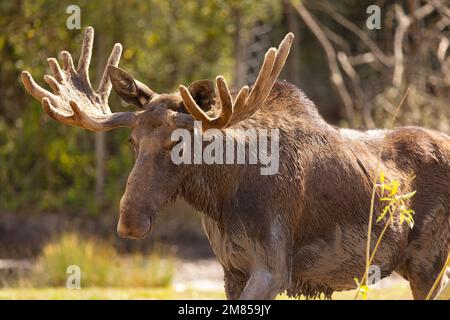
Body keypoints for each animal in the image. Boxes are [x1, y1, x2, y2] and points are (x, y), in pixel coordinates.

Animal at [22, 26, 450, 298]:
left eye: (180, 143)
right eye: (132, 140)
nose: (130, 221)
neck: (221, 198)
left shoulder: (273, 269)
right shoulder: (231, 270)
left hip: (429, 264)